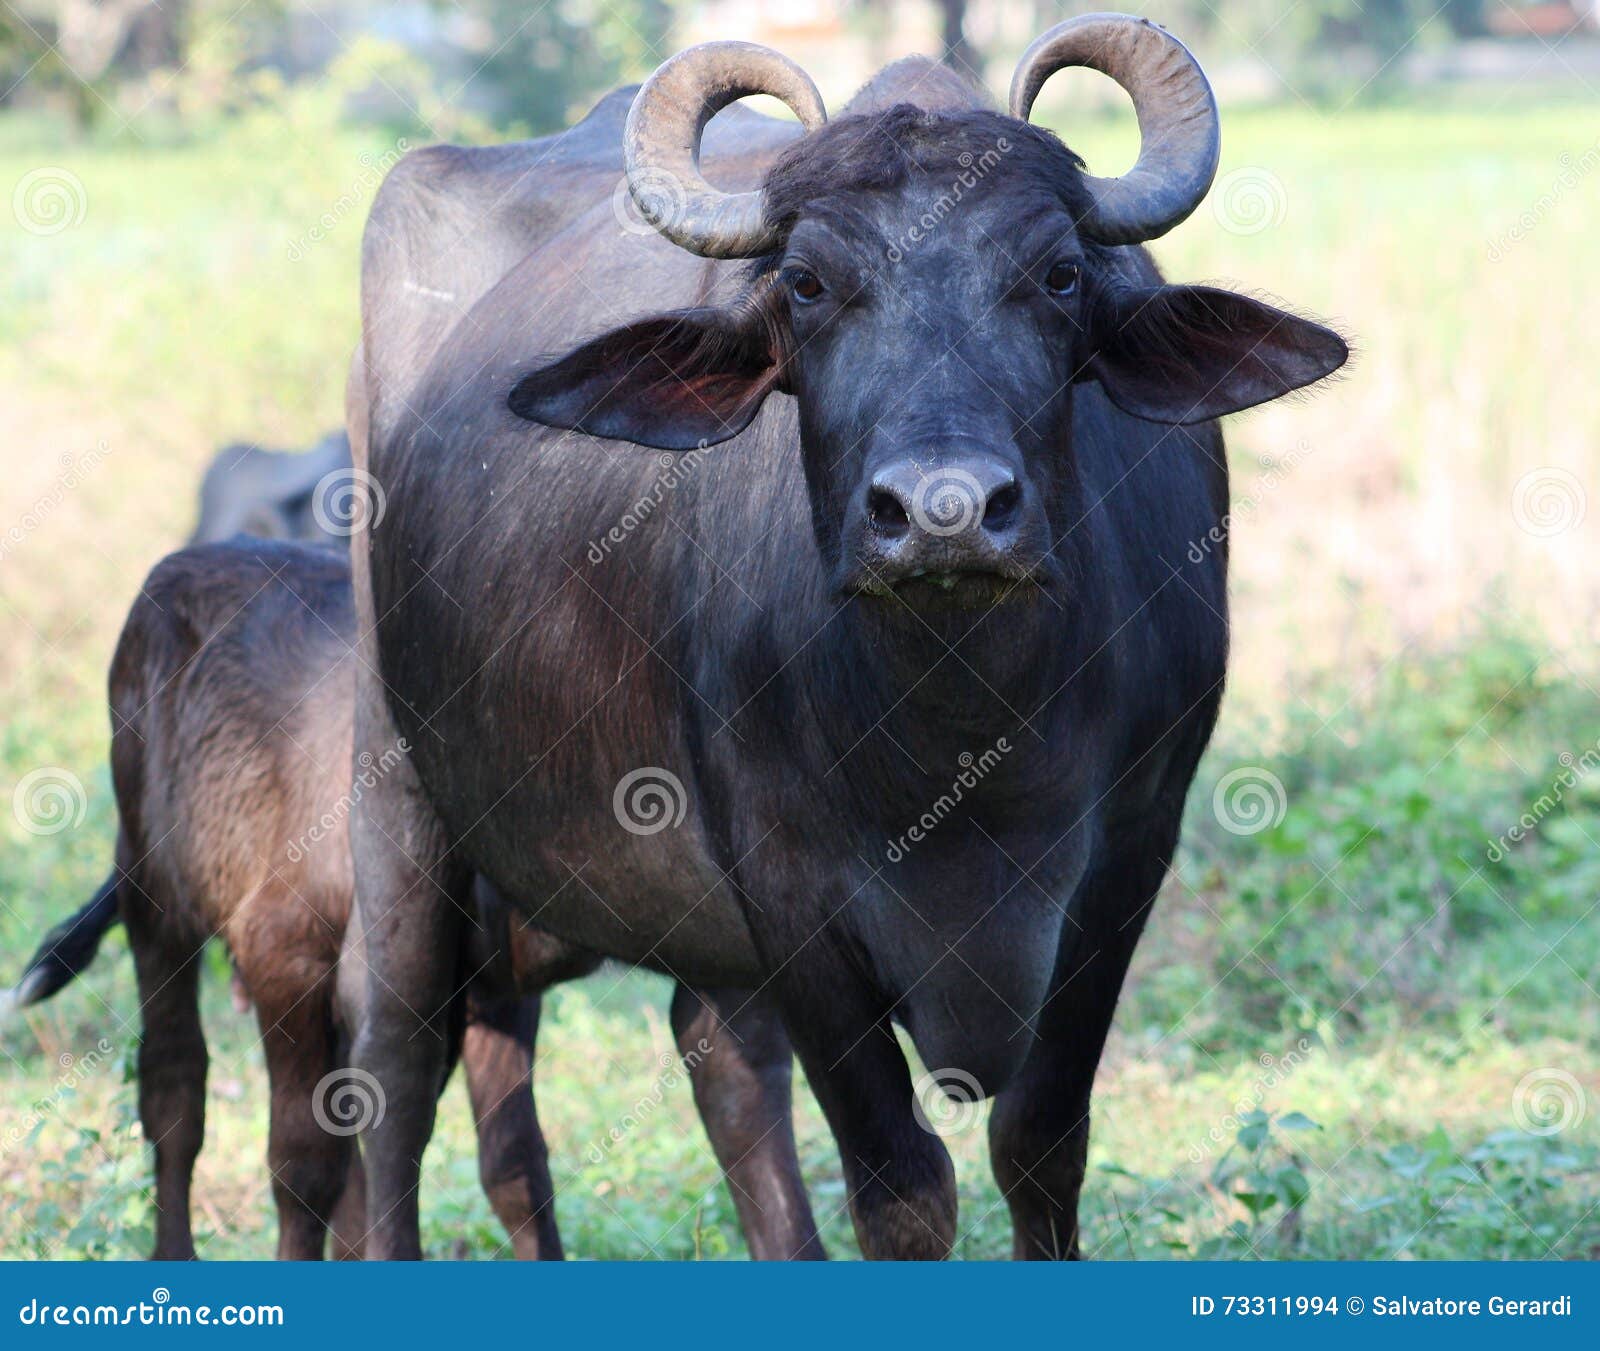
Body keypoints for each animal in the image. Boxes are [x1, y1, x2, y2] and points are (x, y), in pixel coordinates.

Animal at [347, 15, 1347, 1259]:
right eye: (808, 282)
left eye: (1058, 274)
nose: (941, 511)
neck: (956, 727)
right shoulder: (787, 889)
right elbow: (901, 1184)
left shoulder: (1126, 858)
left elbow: (1039, 1142)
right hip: (393, 789)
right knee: (395, 1063)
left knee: (720, 1061)